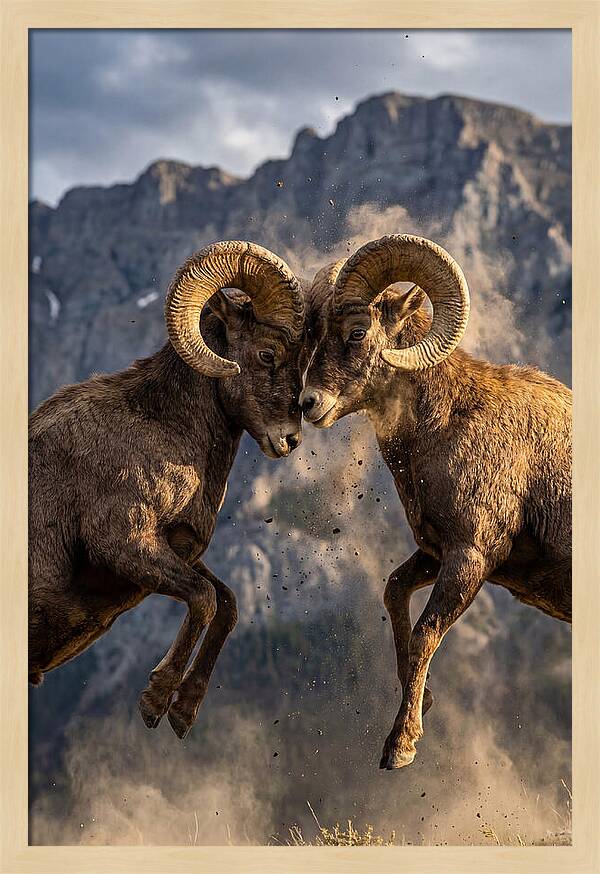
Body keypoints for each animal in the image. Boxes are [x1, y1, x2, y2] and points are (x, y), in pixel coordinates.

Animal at [29, 240, 307, 739]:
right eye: (267, 354)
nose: (290, 439)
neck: (163, 427)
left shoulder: (176, 550)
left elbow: (227, 604)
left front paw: (183, 712)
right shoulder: (124, 544)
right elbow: (203, 599)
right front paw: (156, 700)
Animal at [301, 234, 571, 769]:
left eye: (357, 331)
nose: (308, 404)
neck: (448, 424)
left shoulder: (470, 558)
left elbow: (426, 634)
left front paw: (401, 746)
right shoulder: (433, 552)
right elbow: (394, 594)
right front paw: (422, 701)